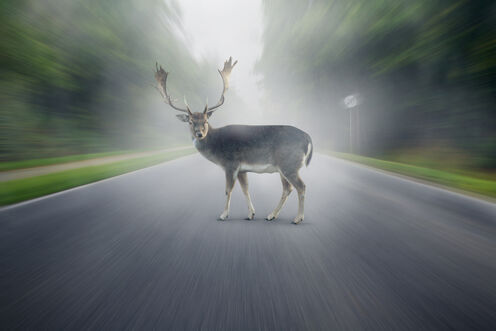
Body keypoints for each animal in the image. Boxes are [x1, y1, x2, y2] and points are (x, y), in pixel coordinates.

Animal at [153, 57, 312, 224]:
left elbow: (227, 190)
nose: (199, 134)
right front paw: (250, 214)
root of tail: (307, 137)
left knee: (301, 186)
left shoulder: (231, 163)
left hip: (289, 163)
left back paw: (297, 218)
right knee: (288, 188)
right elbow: (245, 189)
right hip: (284, 167)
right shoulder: (242, 169)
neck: (216, 147)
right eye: (190, 122)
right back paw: (271, 215)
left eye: (206, 121)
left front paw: (223, 215)